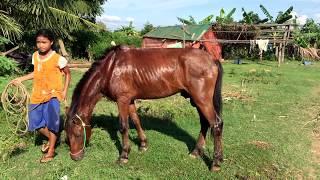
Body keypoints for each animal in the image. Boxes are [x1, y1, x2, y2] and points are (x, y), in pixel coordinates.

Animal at [65, 45, 222, 172]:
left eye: (77, 134)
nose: (75, 157)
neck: (110, 69)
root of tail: (212, 60)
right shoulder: (130, 100)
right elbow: (136, 120)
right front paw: (143, 145)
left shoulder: (122, 100)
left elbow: (123, 126)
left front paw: (124, 155)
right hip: (196, 100)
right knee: (204, 123)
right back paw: (196, 152)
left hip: (202, 100)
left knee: (216, 124)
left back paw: (215, 163)